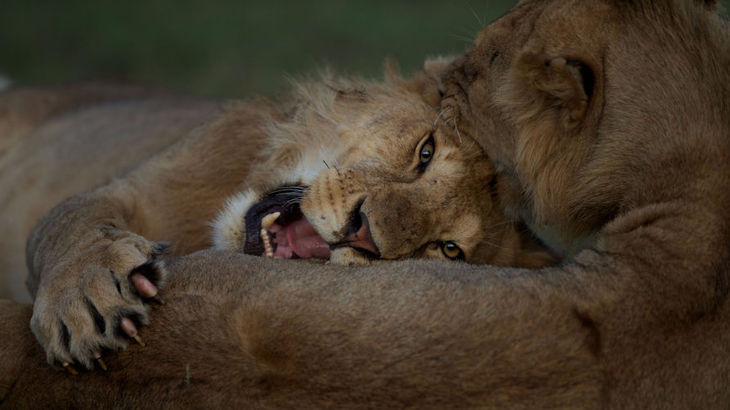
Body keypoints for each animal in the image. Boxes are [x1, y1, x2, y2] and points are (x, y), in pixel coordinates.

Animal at [8, 60, 548, 368]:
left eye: (448, 249)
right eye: (426, 153)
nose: (366, 234)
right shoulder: (129, 192)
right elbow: (67, 222)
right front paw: (85, 299)